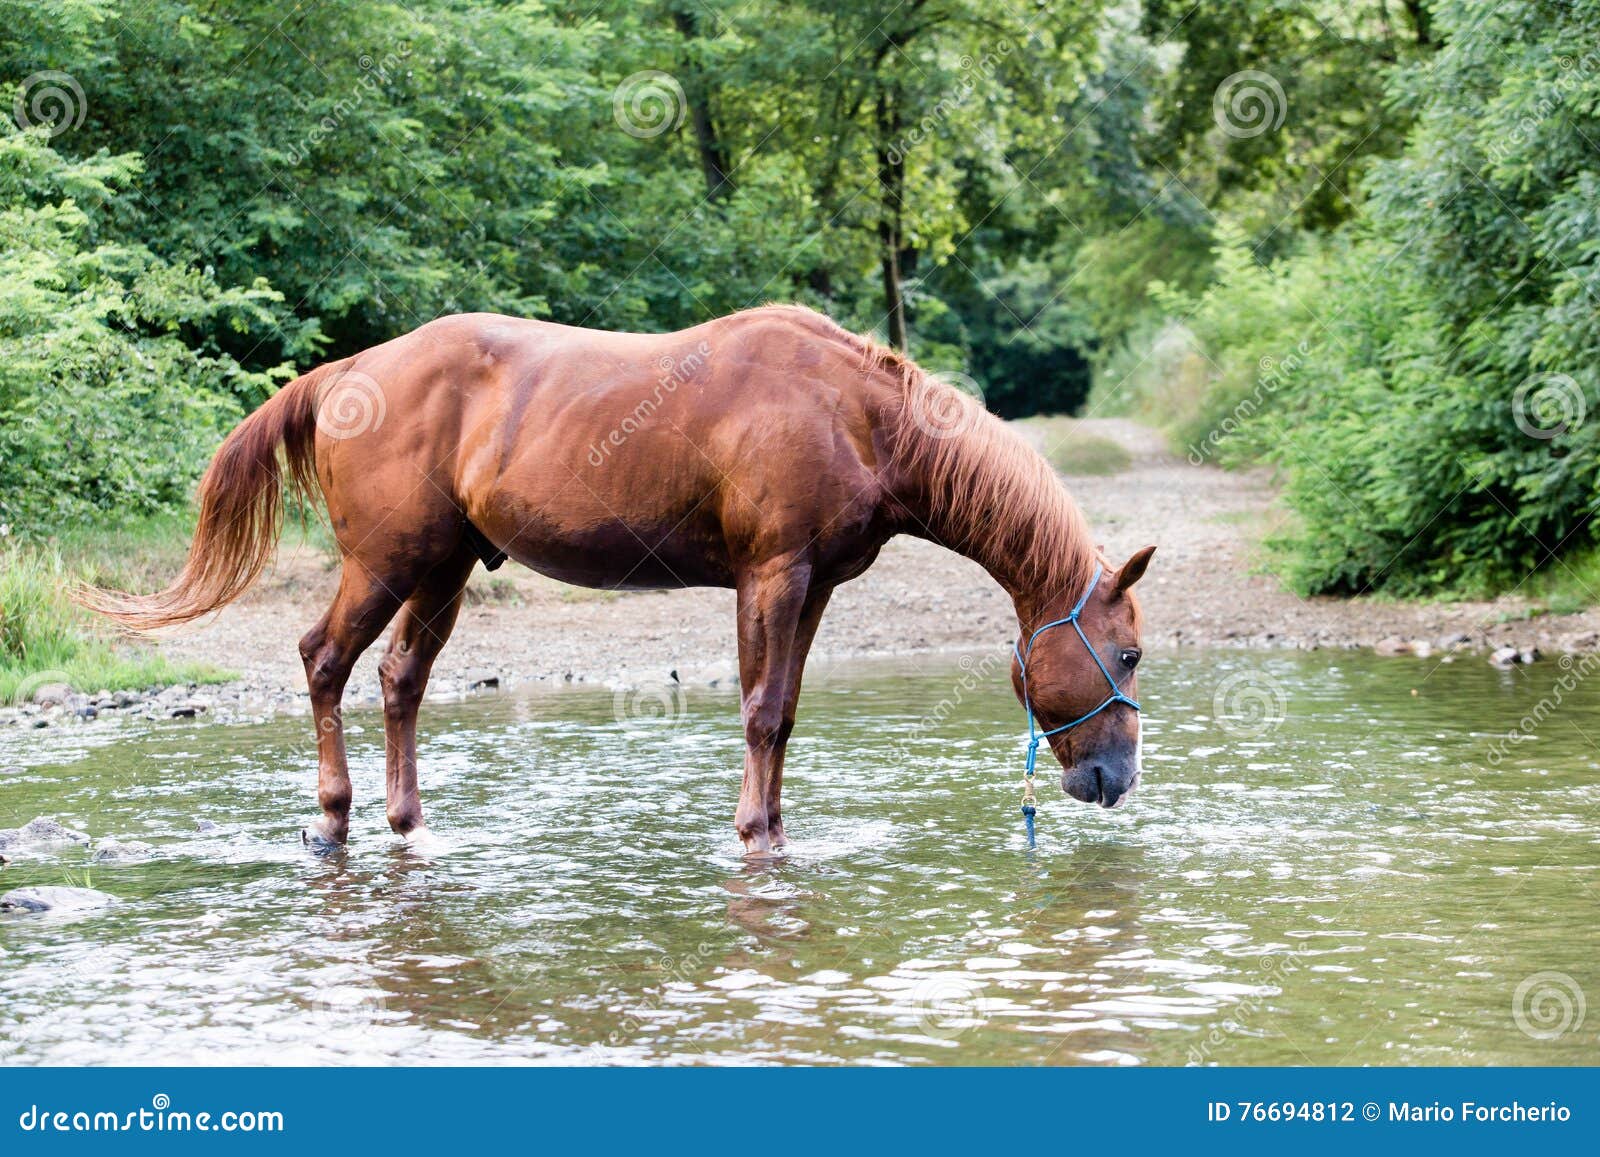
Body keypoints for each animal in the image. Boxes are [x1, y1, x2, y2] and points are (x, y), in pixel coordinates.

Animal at [87, 305, 1155, 854]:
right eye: (1132, 651)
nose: (1114, 780)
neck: (851, 412)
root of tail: (348, 370)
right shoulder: (771, 575)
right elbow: (759, 712)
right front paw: (753, 836)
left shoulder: (812, 587)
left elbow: (785, 712)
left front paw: (775, 829)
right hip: (385, 565)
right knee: (322, 663)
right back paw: (333, 816)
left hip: (441, 571)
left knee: (398, 683)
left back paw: (405, 821)